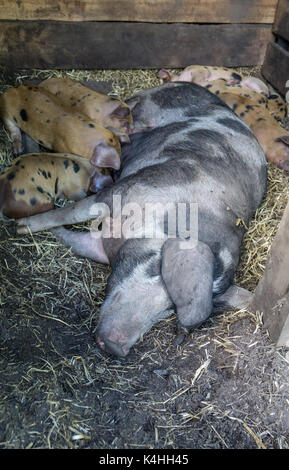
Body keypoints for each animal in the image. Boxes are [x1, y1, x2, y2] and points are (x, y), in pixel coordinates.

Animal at [16, 83, 266, 356]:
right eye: (156, 267)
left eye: (170, 308)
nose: (115, 347)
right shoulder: (123, 190)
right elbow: (69, 213)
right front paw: (20, 226)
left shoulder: (102, 245)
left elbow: (72, 240)